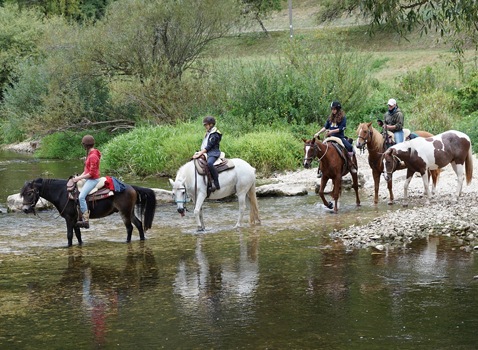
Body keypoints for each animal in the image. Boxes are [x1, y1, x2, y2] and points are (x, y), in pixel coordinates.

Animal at [21, 178, 156, 246]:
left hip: (124, 212)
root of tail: (131, 187)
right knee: (139, 224)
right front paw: (80, 244)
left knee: (129, 228)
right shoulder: (75, 219)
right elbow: (78, 235)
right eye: (22, 193)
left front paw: (68, 246)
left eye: (29, 193)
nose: (25, 210)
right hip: (130, 212)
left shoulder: (69, 218)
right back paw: (142, 239)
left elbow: (69, 235)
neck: (62, 193)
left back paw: (126, 242)